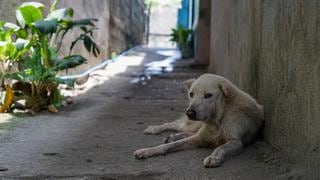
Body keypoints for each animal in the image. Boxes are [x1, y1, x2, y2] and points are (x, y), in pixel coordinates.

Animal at [134, 74, 264, 168]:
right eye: (191, 94)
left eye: (208, 95)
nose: (190, 113)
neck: (218, 120)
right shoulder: (199, 138)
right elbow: (168, 146)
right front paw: (147, 151)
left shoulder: (236, 142)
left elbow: (220, 147)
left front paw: (213, 157)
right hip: (192, 124)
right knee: (175, 124)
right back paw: (155, 129)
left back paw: (173, 136)